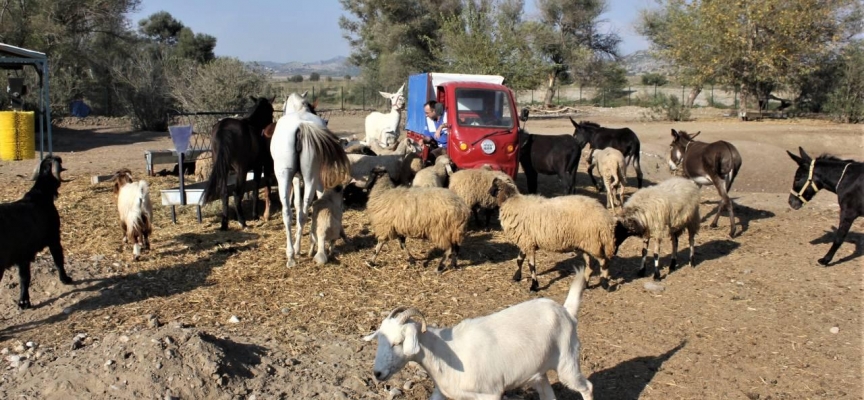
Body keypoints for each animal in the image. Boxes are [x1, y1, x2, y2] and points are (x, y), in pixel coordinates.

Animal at [0, 155, 73, 308]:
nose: (58, 157)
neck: (39, 196)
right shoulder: (53, 238)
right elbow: (58, 260)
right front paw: (65, 279)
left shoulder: (23, 256)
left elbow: (23, 277)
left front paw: (23, 301)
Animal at [202, 95, 274, 230]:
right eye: (271, 110)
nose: (270, 125)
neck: (253, 125)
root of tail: (223, 128)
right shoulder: (256, 167)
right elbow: (254, 189)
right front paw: (255, 215)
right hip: (241, 169)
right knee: (236, 193)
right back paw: (242, 222)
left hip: (224, 170)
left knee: (224, 193)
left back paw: (225, 224)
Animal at [272, 92, 350, 268]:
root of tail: (301, 126)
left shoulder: (295, 179)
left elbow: (298, 204)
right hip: (308, 177)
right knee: (300, 212)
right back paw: (296, 251)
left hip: (288, 177)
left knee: (291, 213)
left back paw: (292, 254)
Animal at [362, 268, 592, 400]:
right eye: (380, 341)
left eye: (398, 342)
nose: (377, 374)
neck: (446, 353)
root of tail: (566, 311)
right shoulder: (442, 392)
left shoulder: (490, 393)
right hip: (538, 373)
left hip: (567, 363)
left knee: (587, 387)